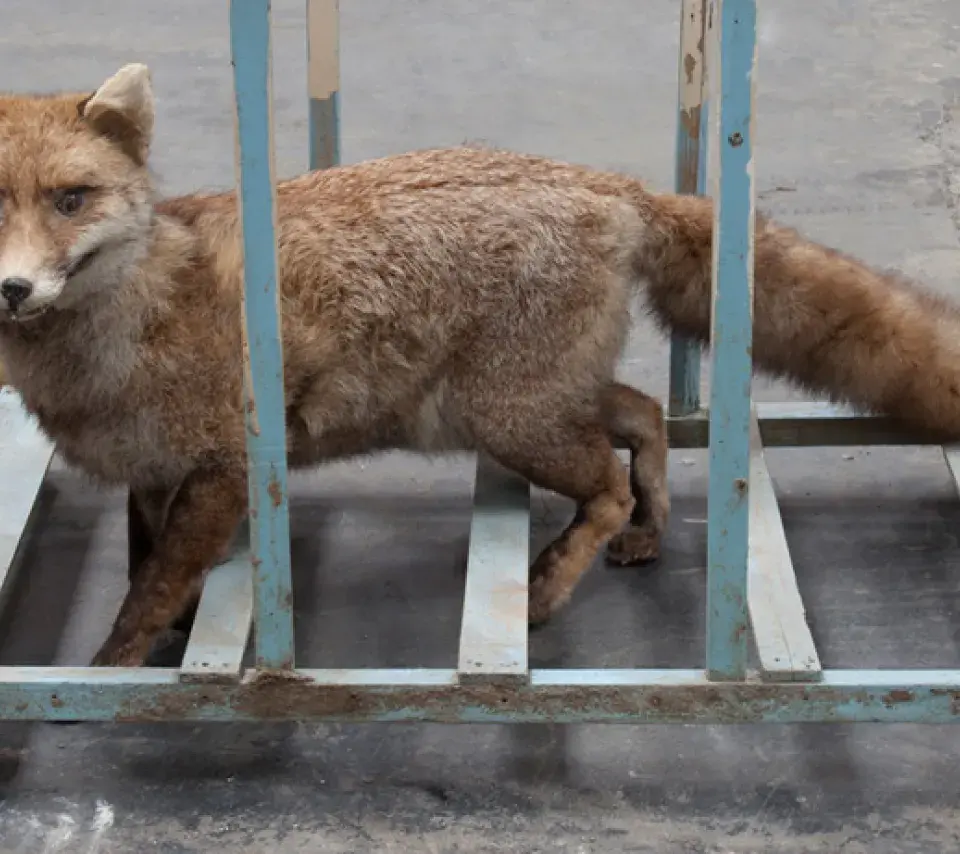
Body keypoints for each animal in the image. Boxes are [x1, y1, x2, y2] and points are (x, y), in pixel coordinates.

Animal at [1, 65, 960, 668]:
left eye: (70, 201)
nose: (12, 289)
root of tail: (608, 185)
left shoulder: (224, 469)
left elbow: (149, 590)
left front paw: (113, 668)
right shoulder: (153, 476)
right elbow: (149, 568)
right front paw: (173, 634)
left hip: (510, 419)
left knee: (608, 481)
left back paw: (548, 589)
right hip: (534, 400)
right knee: (644, 416)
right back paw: (649, 527)